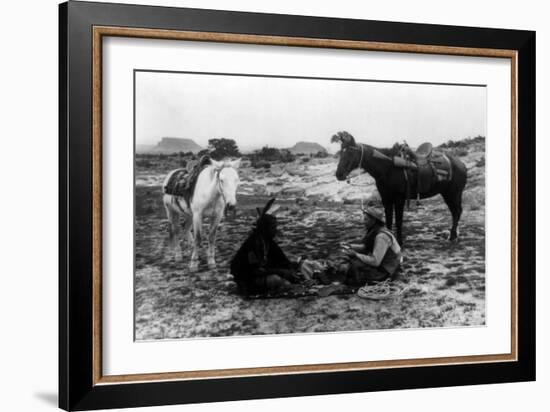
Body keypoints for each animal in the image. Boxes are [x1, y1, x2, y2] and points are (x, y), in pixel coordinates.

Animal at [334, 131, 468, 245]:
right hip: (447, 194)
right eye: (341, 153)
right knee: (455, 212)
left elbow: (398, 221)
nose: (338, 174)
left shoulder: (399, 199)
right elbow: (388, 220)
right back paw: (453, 235)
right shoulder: (386, 199)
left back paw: (452, 237)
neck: (388, 167)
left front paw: (400, 242)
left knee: (457, 212)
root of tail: (461, 164)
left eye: (350, 153)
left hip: (454, 193)